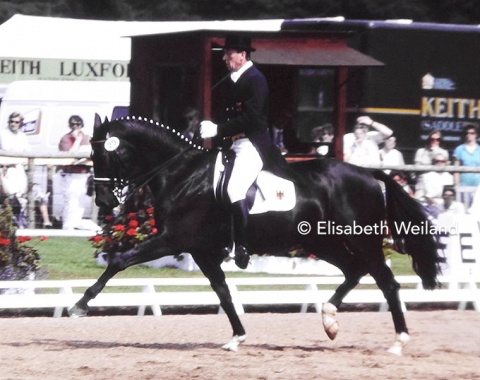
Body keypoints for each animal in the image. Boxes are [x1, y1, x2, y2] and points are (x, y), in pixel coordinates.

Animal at [70, 115, 442, 354]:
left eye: (103, 155)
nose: (103, 202)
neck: (182, 173)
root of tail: (370, 174)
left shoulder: (172, 239)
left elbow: (119, 260)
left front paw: (80, 305)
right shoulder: (201, 250)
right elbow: (223, 293)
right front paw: (237, 337)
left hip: (359, 239)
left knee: (386, 282)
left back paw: (398, 342)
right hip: (321, 242)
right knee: (355, 271)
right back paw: (329, 321)